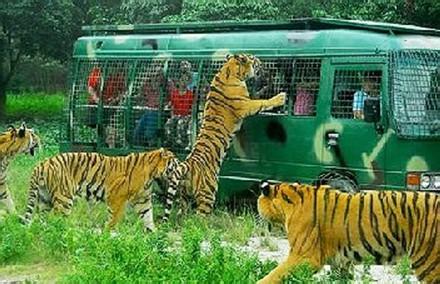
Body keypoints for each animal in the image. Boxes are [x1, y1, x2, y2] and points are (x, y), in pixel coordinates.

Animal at [20, 148, 179, 232]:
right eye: (175, 161)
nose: (180, 166)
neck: (152, 175)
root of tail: (42, 164)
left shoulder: (143, 200)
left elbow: (148, 217)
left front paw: (153, 233)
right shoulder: (116, 198)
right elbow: (114, 218)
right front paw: (108, 232)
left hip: (44, 199)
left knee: (41, 219)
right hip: (64, 199)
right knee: (56, 219)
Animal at [163, 53, 288, 222]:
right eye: (253, 59)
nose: (262, 62)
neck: (229, 71)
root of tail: (187, 164)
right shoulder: (246, 105)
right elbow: (262, 102)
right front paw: (280, 97)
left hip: (184, 197)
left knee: (182, 214)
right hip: (208, 193)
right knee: (199, 218)